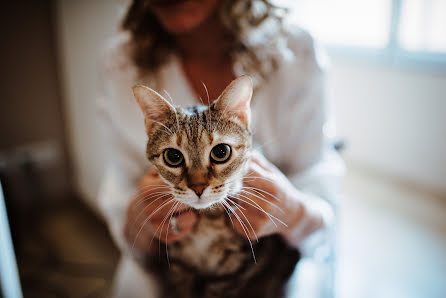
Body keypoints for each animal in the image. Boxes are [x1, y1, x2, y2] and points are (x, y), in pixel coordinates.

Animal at [132, 75, 300, 296]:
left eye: (221, 152)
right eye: (173, 156)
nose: (198, 187)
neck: (207, 222)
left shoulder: (232, 272)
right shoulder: (179, 266)